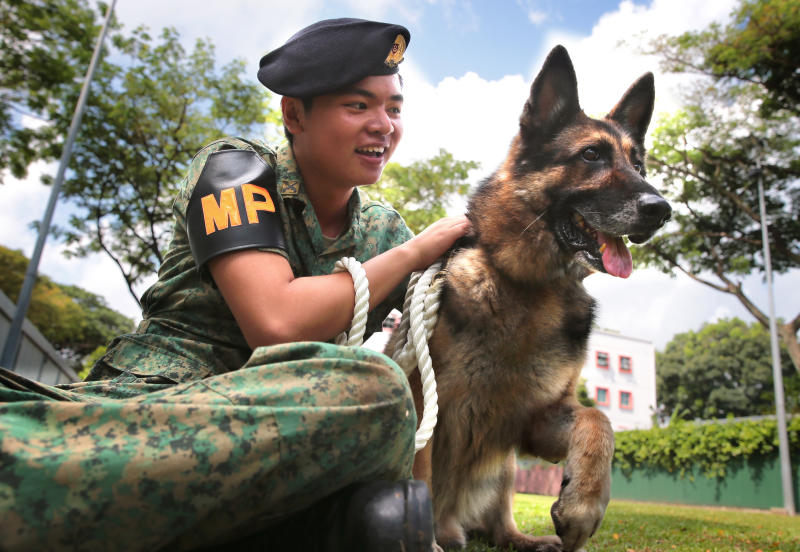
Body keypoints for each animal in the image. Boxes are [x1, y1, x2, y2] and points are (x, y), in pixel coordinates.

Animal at [389, 45, 671, 551]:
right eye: (592, 155)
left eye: (638, 167)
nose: (661, 210)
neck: (528, 284)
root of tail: (454, 522)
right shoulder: (424, 403)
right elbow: (418, 473)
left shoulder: (536, 421)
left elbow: (600, 422)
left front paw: (582, 507)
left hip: (503, 469)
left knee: (500, 524)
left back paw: (524, 538)